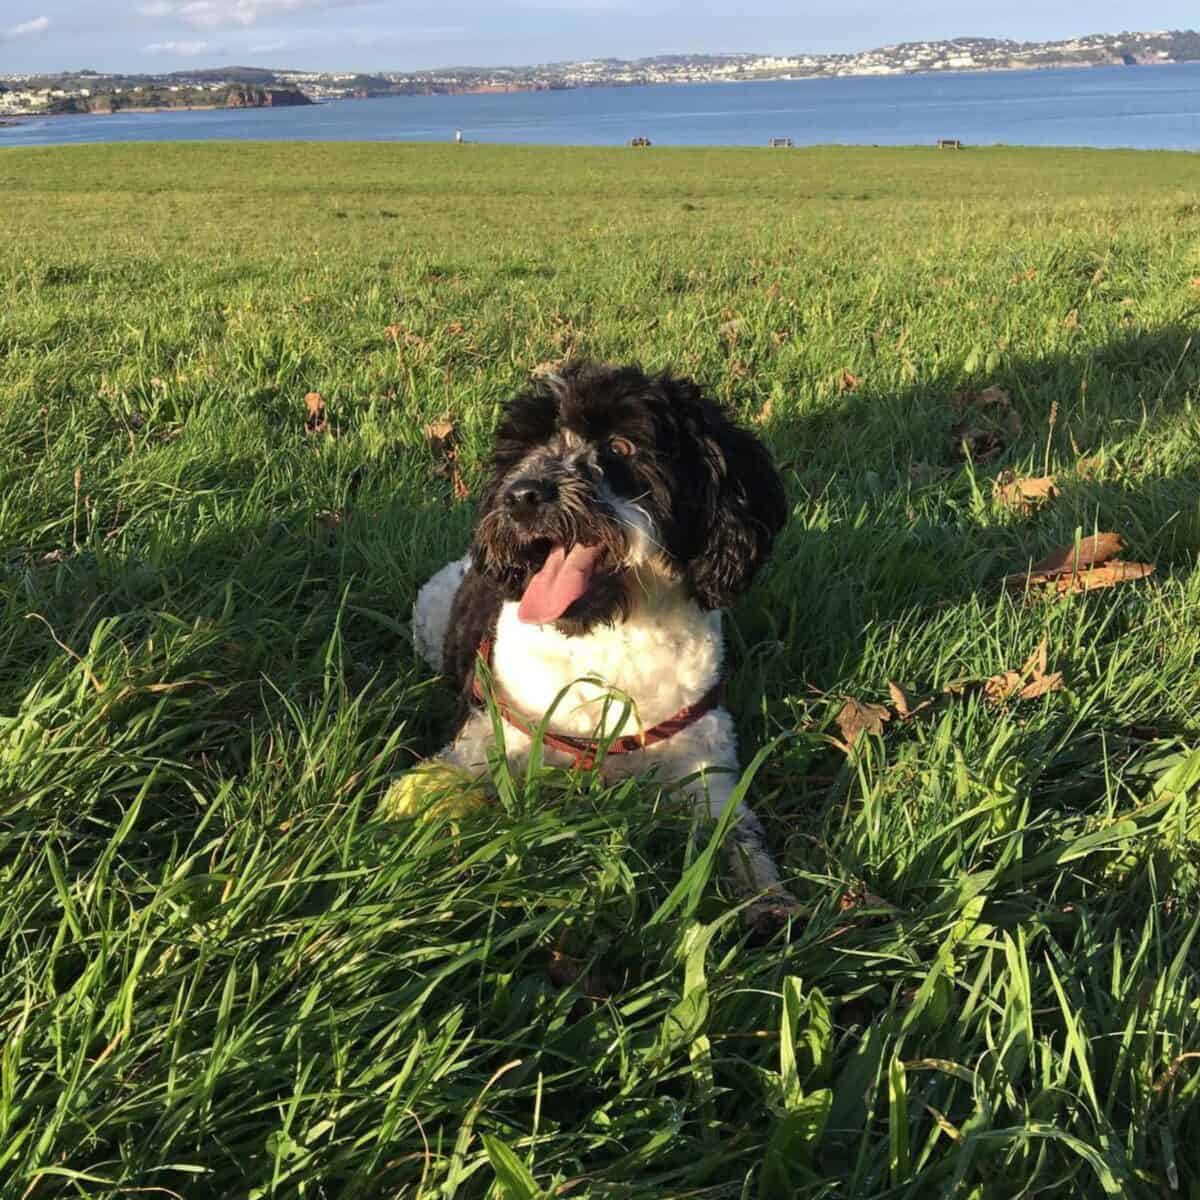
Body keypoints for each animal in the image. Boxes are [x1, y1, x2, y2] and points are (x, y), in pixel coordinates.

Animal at [412, 362, 796, 926]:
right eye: (525, 446)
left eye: (620, 446)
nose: (520, 495)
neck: (607, 639)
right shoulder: (487, 738)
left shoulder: (706, 767)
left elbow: (739, 837)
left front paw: (769, 900)